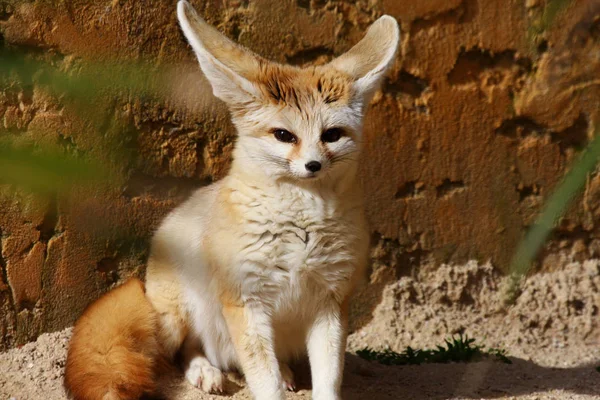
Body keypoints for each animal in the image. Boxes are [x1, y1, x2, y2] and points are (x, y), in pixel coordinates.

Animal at [63, 1, 398, 398]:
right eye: (284, 135)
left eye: (331, 135)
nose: (313, 165)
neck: (302, 228)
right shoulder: (246, 301)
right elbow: (263, 380)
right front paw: (262, 383)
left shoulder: (330, 303)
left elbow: (327, 378)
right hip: (178, 319)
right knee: (178, 354)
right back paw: (204, 370)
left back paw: (283, 370)